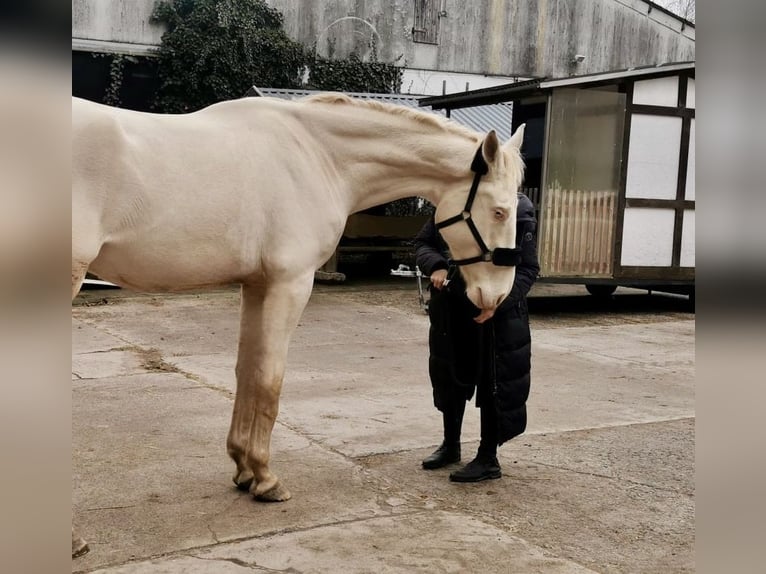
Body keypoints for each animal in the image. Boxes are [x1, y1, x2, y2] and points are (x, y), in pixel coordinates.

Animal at [72, 93, 526, 555]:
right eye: (500, 211)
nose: (496, 297)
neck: (318, 155)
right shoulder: (290, 284)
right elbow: (270, 381)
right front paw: (266, 479)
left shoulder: (257, 286)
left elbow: (247, 373)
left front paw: (244, 470)